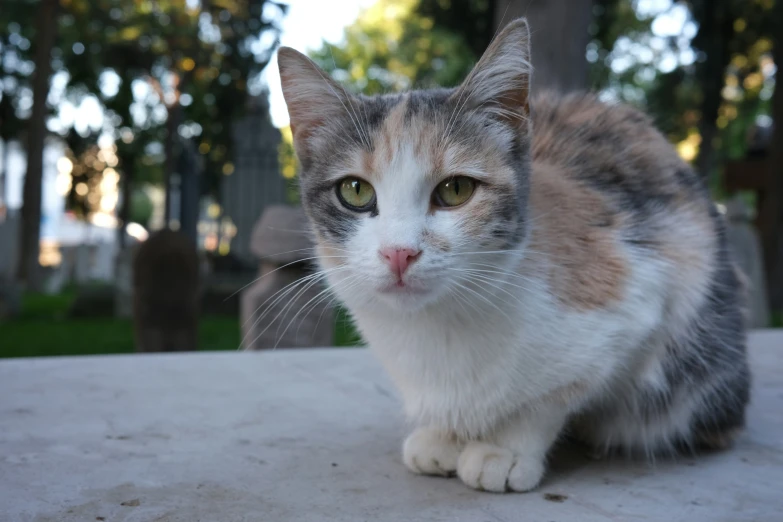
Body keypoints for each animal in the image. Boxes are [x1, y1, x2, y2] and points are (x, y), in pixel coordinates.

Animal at [278, 16, 752, 492]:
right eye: (355, 191)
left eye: (456, 189)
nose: (399, 252)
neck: (436, 326)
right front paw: (444, 436)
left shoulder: (646, 287)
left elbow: (547, 399)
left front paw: (502, 449)